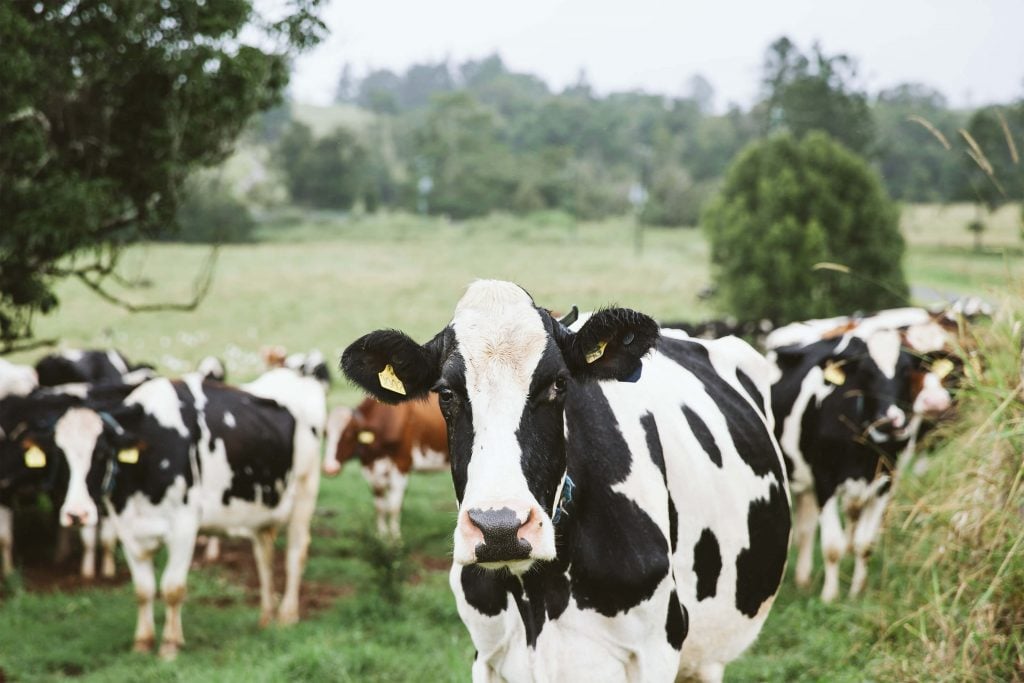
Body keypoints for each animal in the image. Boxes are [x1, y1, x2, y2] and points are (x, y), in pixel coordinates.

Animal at [321, 395, 446, 540]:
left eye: (350, 433)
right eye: (326, 434)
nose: (329, 468)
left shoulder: (401, 465)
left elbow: (394, 507)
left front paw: (395, 538)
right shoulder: (372, 470)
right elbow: (380, 506)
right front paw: (381, 535)